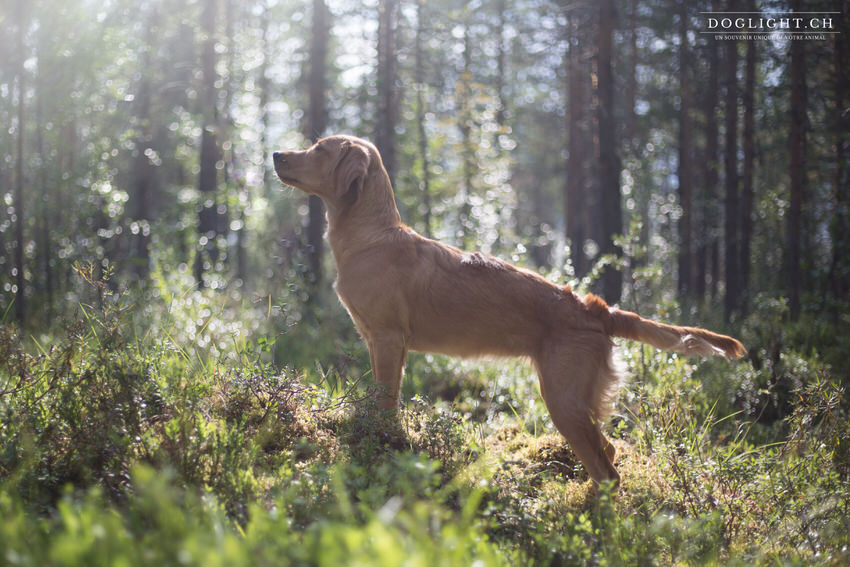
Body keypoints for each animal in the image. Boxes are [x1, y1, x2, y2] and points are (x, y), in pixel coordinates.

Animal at [274, 135, 744, 486]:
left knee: (607, 469)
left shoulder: (388, 338)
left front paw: (381, 440)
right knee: (609, 451)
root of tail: (596, 309)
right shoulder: (381, 341)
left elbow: (386, 398)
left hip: (563, 397)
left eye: (319, 149)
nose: (276, 154)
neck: (371, 235)